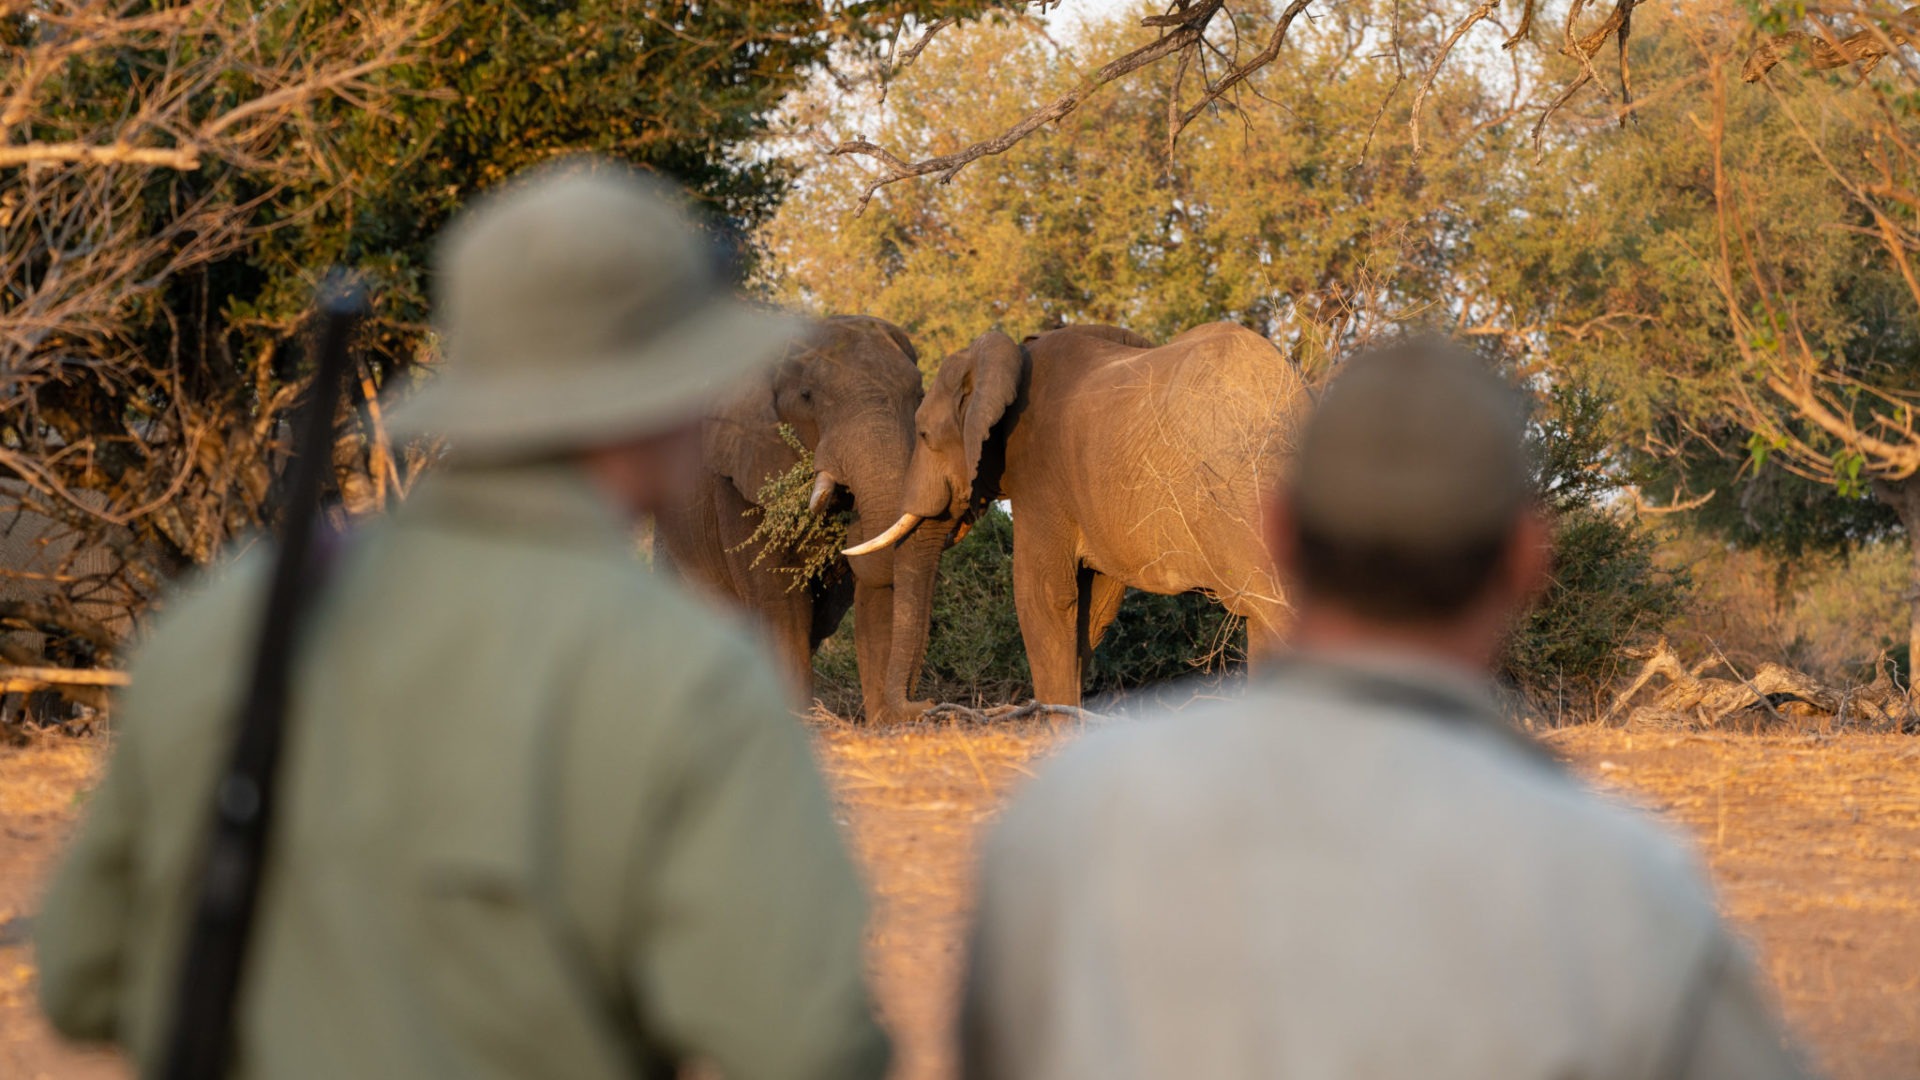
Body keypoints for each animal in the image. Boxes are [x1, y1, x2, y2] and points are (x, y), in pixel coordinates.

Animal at [654, 315, 947, 722]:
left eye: (919, 395)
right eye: (807, 396)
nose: (928, 703)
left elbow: (878, 590)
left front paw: (886, 723)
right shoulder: (740, 477)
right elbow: (781, 603)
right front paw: (797, 723)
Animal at [848, 322, 1309, 709]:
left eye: (924, 435)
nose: (927, 704)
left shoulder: (1041, 478)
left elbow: (1042, 596)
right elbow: (1093, 610)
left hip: (1241, 491)